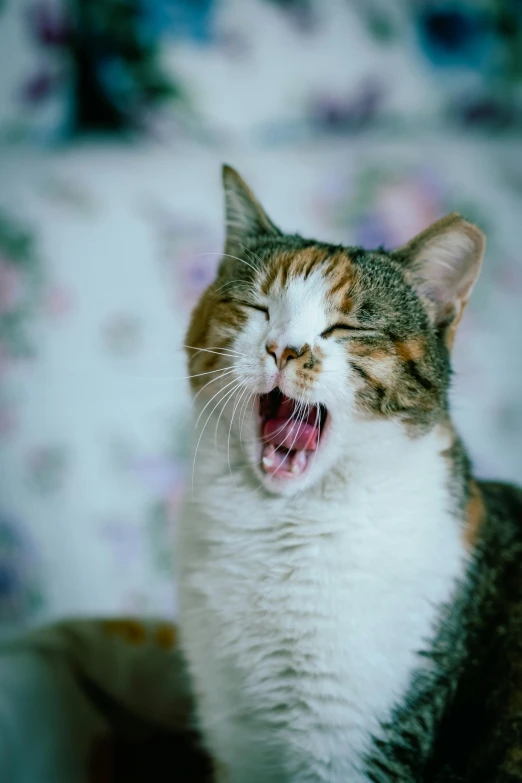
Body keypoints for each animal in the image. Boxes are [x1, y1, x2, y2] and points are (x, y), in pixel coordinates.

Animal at [177, 165, 520, 783]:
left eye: (344, 328)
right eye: (258, 308)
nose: (282, 348)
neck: (278, 524)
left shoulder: (349, 743)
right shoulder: (238, 741)